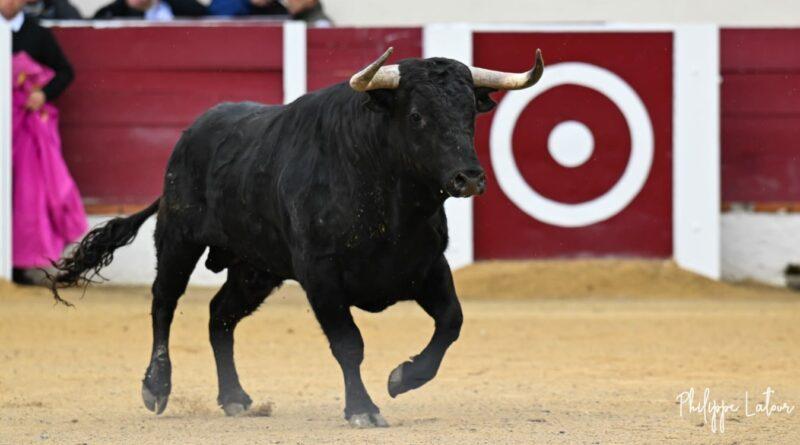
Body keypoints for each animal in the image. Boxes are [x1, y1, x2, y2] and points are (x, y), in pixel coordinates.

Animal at [50, 47, 544, 428]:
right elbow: (348, 343)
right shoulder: (320, 275)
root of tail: (192, 133)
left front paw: (402, 378)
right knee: (163, 304)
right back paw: (157, 387)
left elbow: (451, 322)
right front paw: (363, 409)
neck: (385, 190)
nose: (470, 178)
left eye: (469, 115)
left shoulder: (427, 267)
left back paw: (235, 398)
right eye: (418, 116)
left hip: (255, 269)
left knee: (219, 315)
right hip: (178, 238)